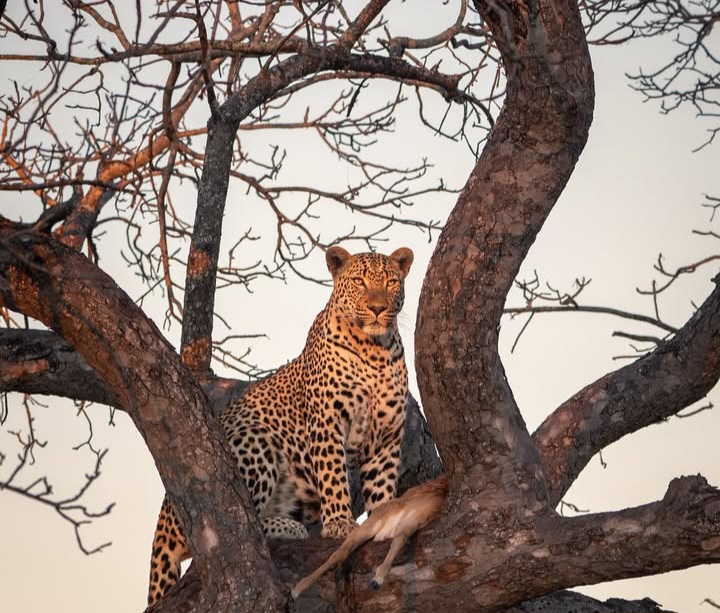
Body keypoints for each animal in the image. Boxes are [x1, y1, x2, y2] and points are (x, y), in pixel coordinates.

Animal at [147, 245, 414, 606]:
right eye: (359, 281)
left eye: (390, 282)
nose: (377, 308)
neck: (375, 351)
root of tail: (164, 513)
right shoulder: (327, 422)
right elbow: (333, 477)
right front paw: (340, 524)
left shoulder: (386, 437)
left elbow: (382, 488)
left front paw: (382, 519)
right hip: (254, 438)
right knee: (238, 521)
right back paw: (288, 528)